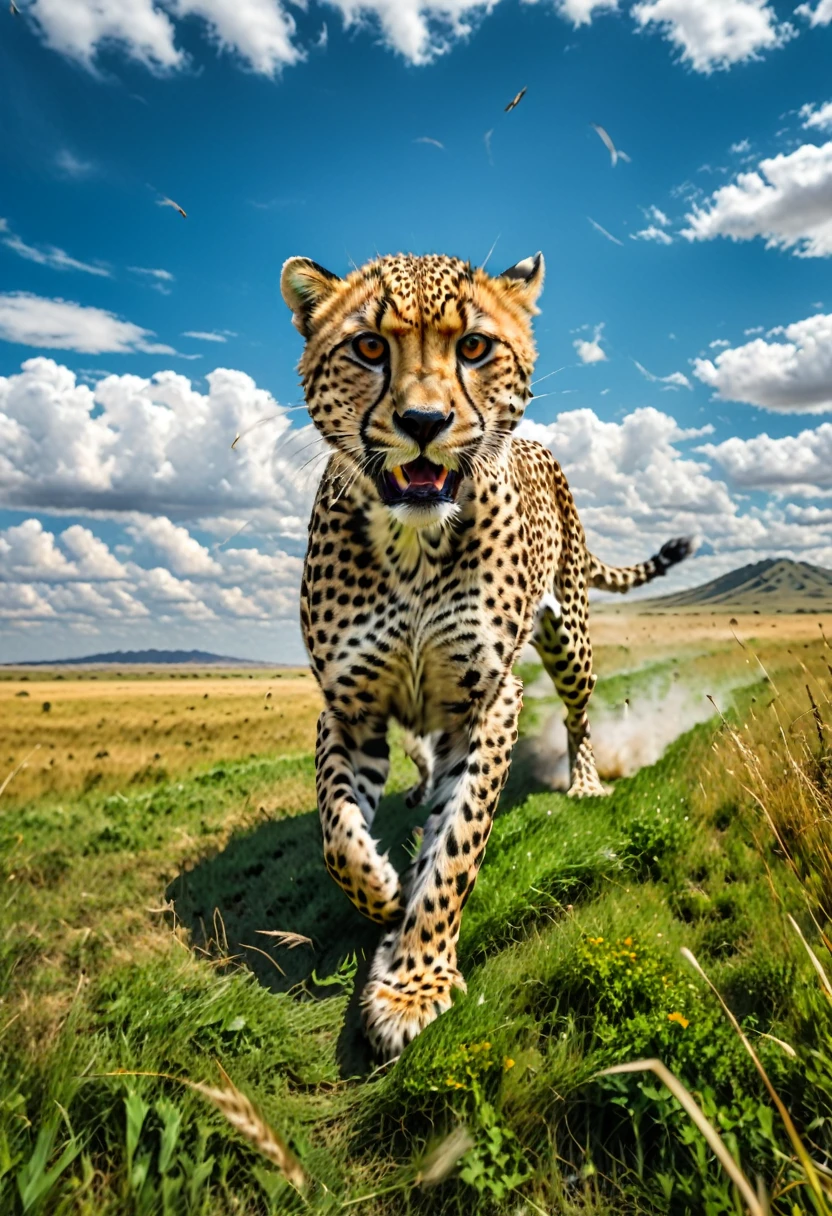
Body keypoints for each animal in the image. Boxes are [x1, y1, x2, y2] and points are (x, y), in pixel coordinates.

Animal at [280, 250, 693, 1060]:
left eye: (473, 347)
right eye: (368, 348)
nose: (424, 423)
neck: (411, 544)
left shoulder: (487, 700)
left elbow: (458, 846)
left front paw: (413, 983)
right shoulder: (348, 708)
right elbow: (337, 832)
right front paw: (384, 889)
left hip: (570, 639)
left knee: (579, 716)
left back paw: (585, 782)